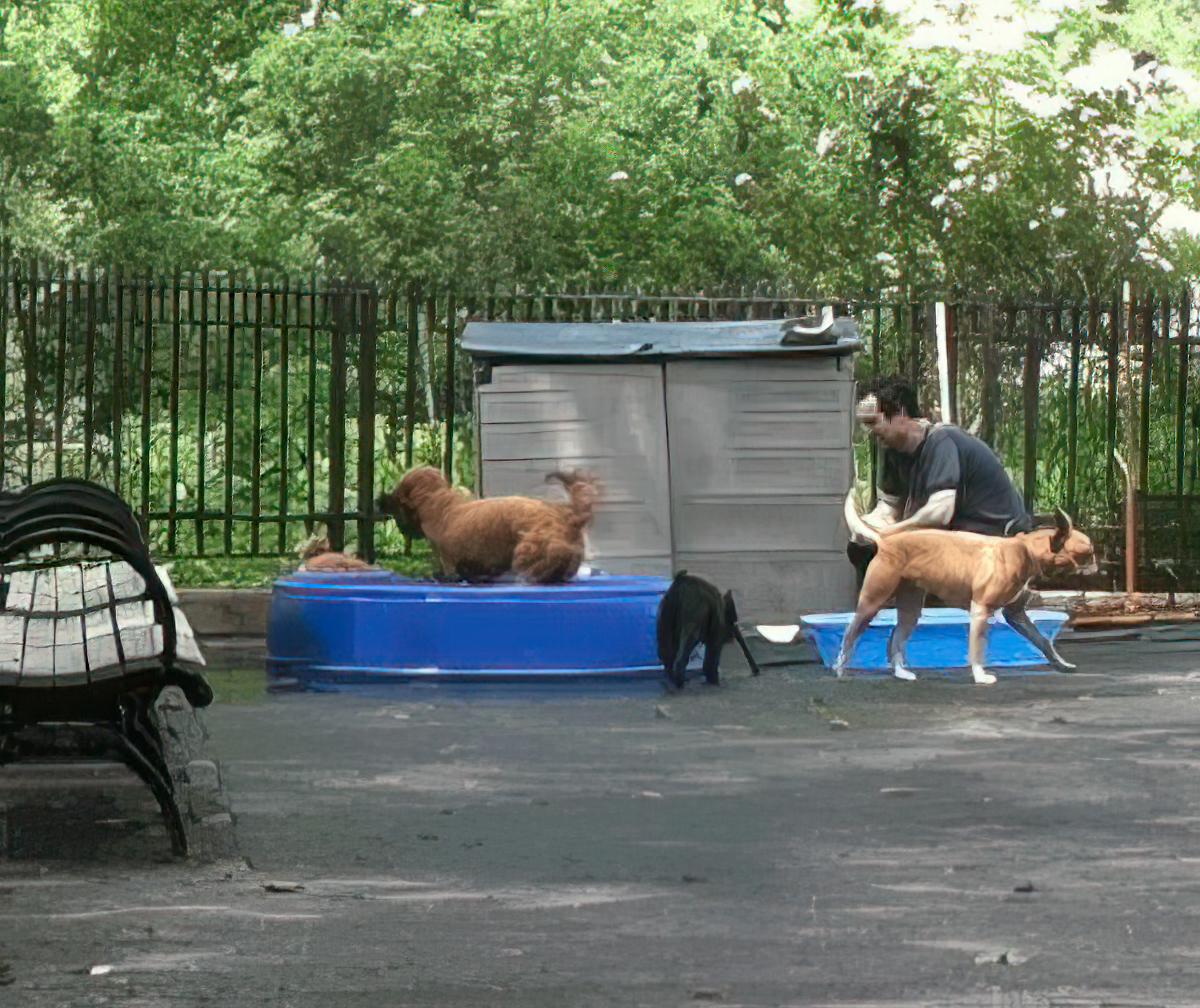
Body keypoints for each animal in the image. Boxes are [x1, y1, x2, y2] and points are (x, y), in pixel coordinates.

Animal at [374, 465, 600, 583]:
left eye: (394, 496)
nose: (378, 500)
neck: (441, 507)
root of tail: (567, 516)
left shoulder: (451, 565)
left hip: (526, 553)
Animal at [835, 494, 1099, 686]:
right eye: (1088, 552)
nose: (1098, 567)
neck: (1025, 549)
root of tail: (886, 540)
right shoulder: (980, 610)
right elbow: (976, 649)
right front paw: (980, 675)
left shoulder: (1016, 615)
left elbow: (1043, 640)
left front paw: (1060, 663)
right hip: (872, 602)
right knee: (850, 632)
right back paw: (840, 667)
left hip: (910, 610)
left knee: (894, 638)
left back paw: (901, 672)